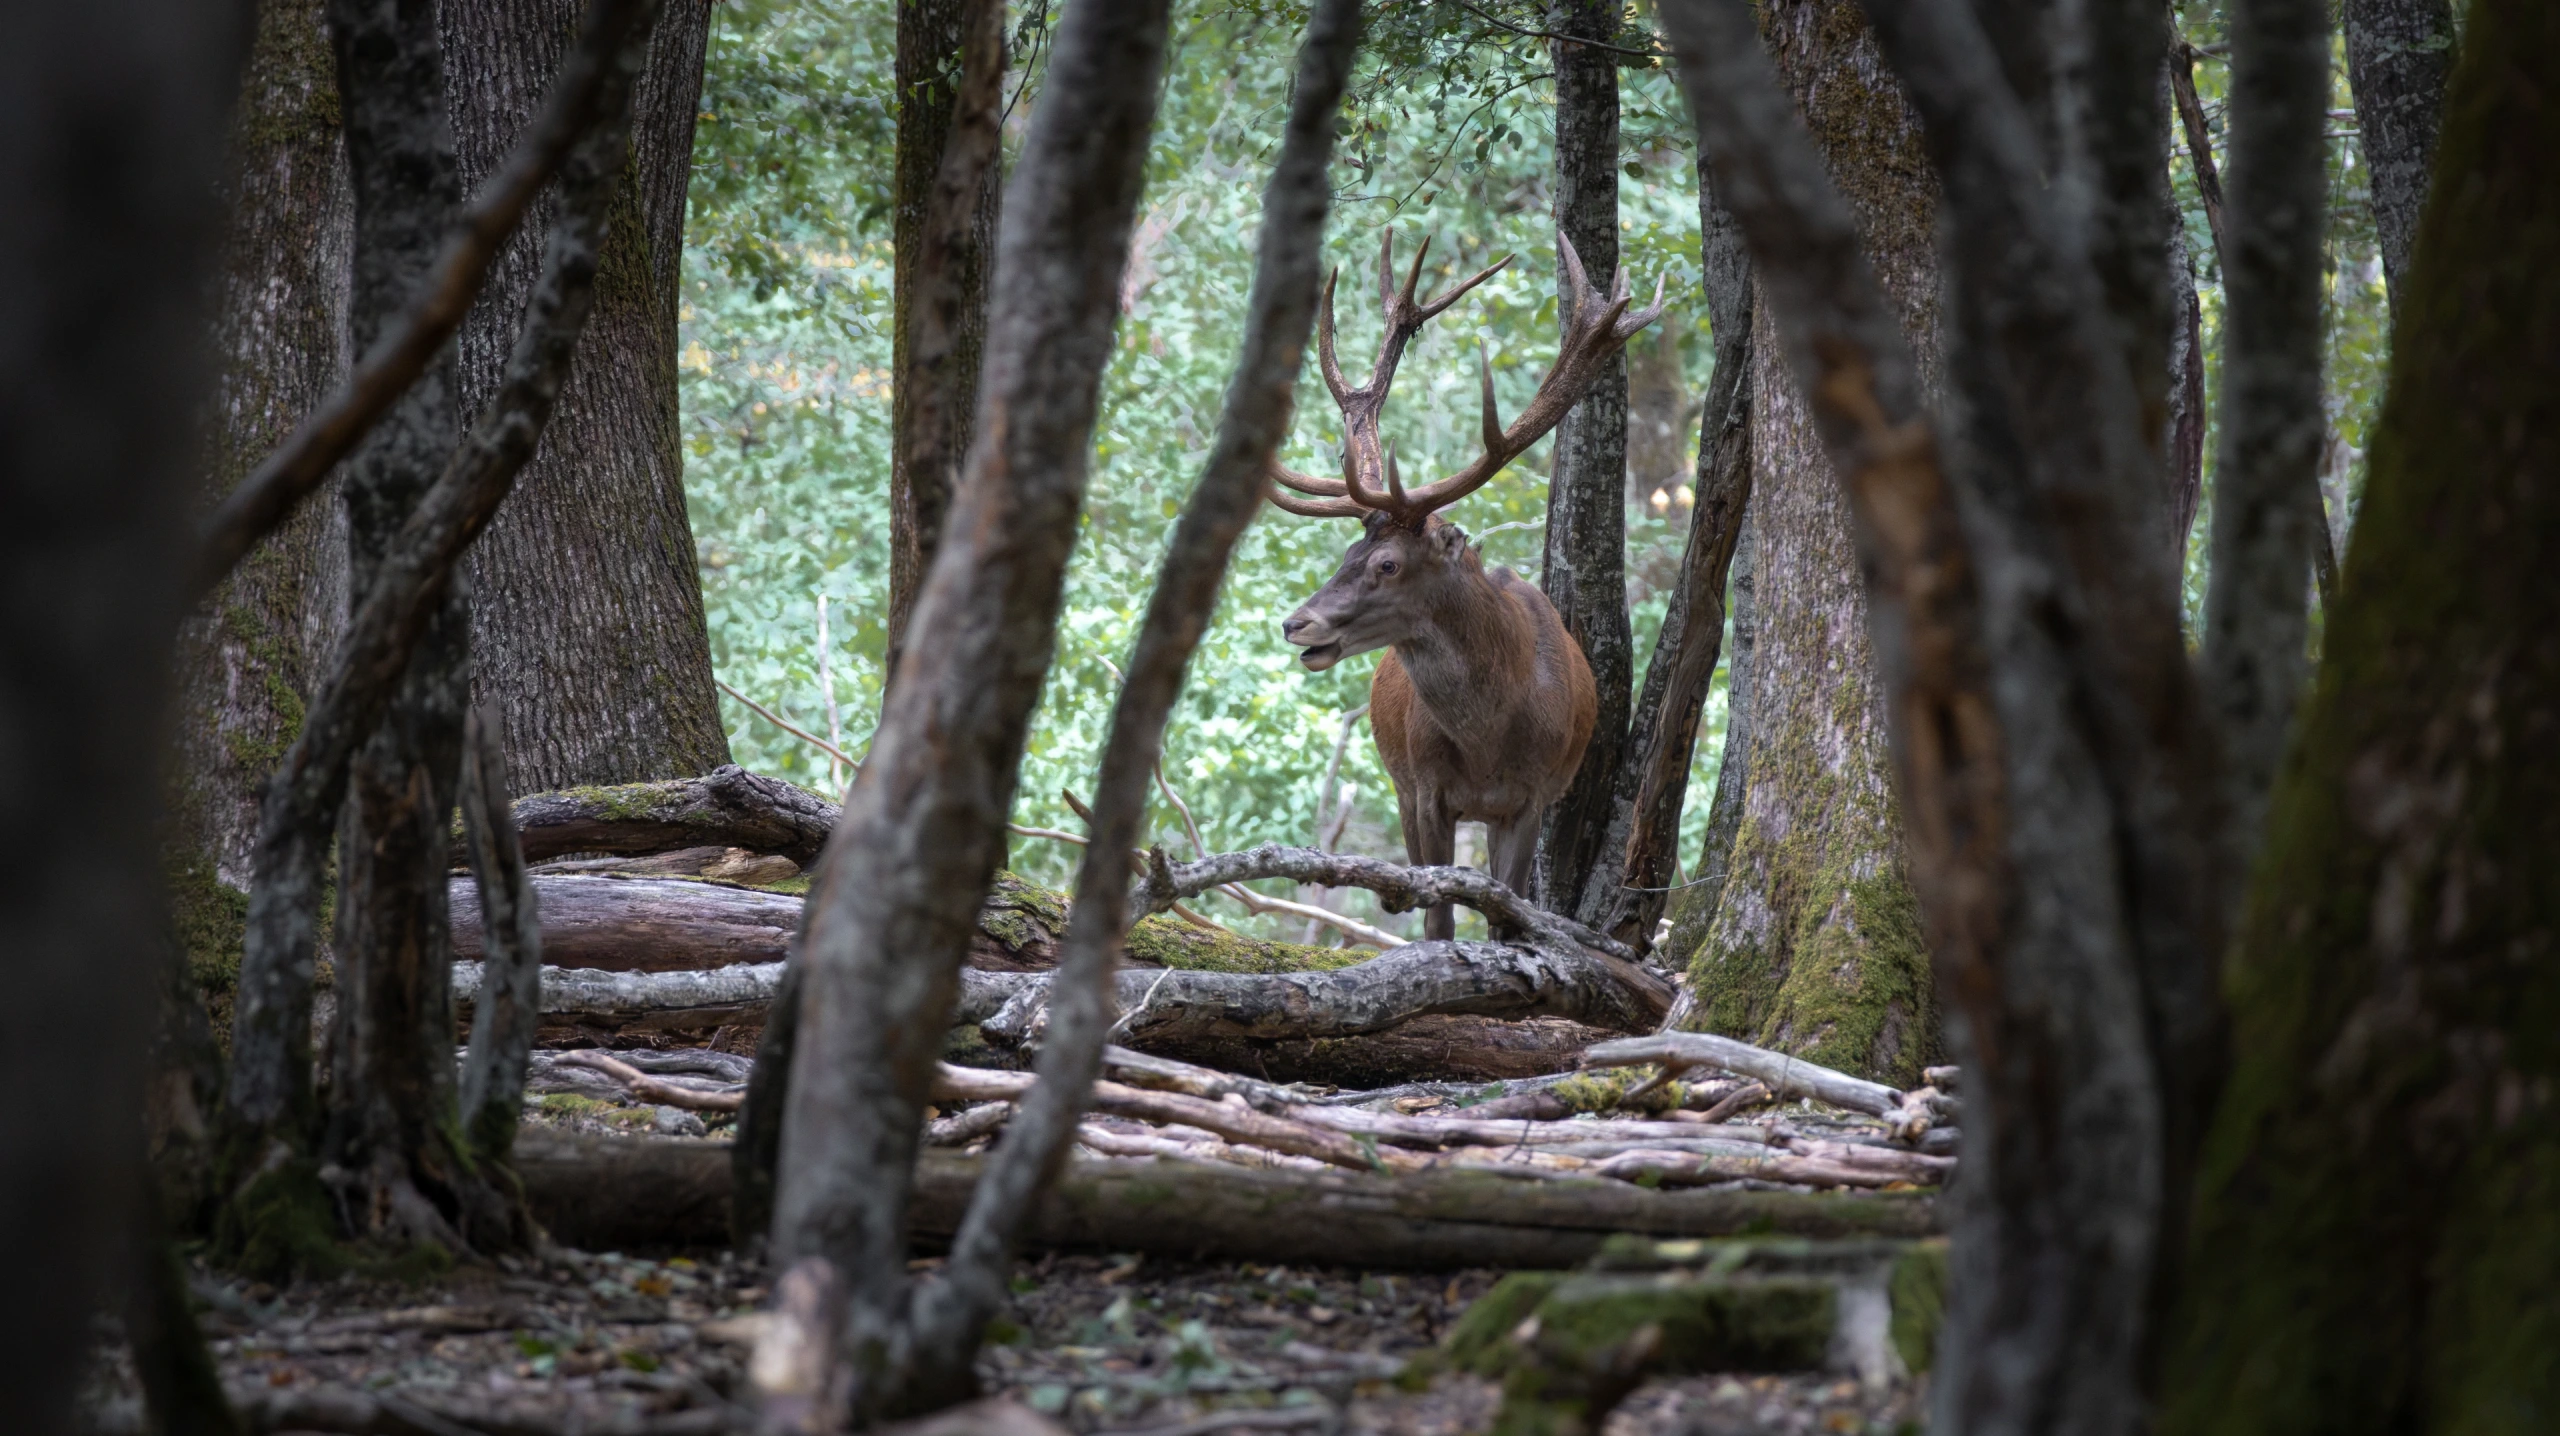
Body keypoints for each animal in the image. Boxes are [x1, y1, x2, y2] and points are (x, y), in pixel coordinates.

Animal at [1270, 231, 1666, 941]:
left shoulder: (1533, 797)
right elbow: (1438, 918)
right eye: (1348, 550)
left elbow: (1507, 915)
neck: (1489, 739)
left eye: (1388, 564)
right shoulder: (1426, 790)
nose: (1296, 623)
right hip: (1400, 782)